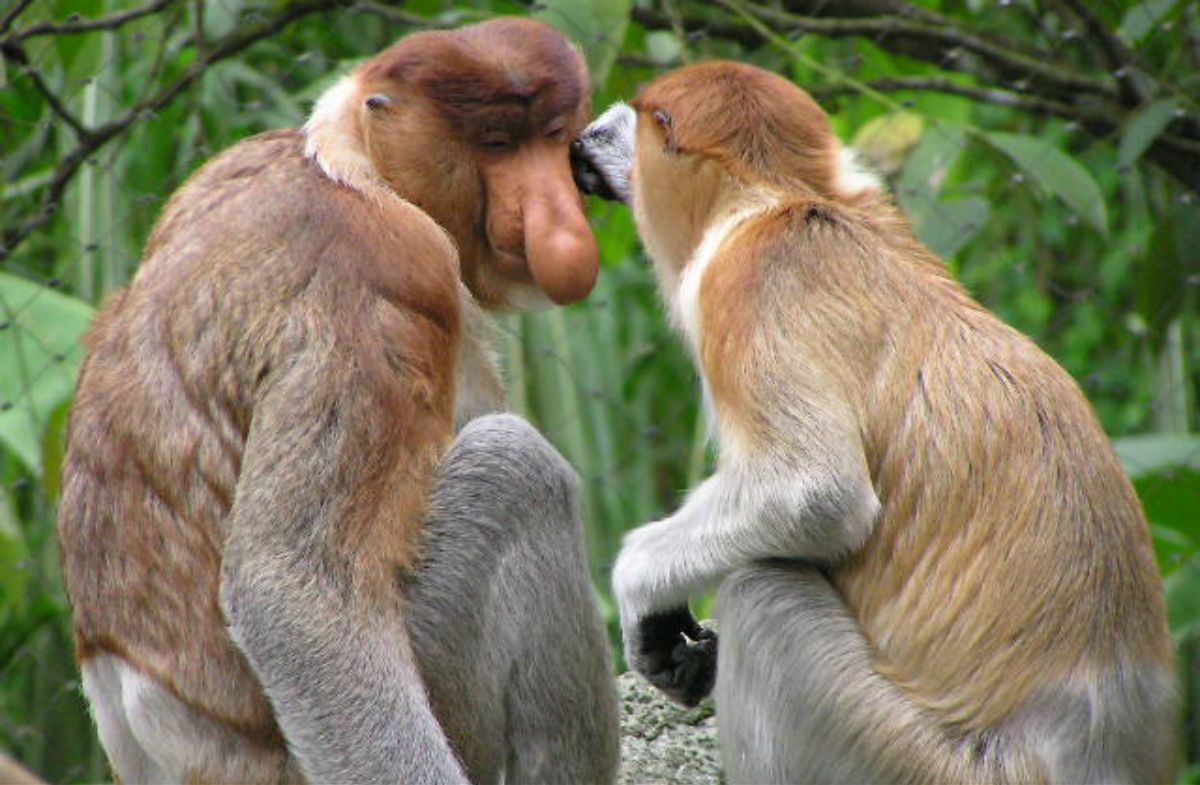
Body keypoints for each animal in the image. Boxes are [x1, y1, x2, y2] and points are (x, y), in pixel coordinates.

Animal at [56, 18, 619, 785]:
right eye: (498, 144)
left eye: (552, 135)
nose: (556, 216)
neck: (348, 164)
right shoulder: (379, 276)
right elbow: (295, 590)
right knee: (515, 472)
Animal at [573, 63, 1180, 785]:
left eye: (643, 120)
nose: (593, 135)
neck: (785, 198)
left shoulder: (748, 282)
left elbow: (813, 494)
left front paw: (644, 601)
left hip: (892, 754)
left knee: (761, 592)